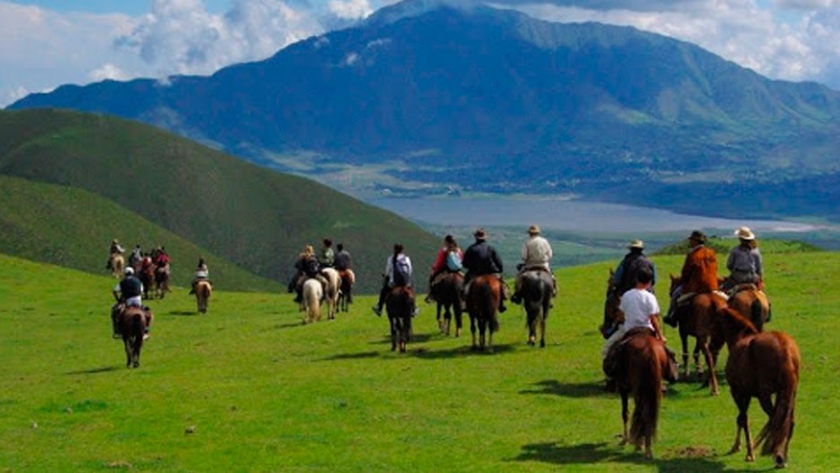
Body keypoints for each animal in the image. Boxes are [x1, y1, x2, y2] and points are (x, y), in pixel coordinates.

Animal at [600, 328, 680, 458]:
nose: (603, 331)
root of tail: (649, 349)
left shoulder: (624, 388)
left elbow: (625, 413)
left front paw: (626, 440)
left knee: (642, 412)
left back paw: (642, 446)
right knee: (648, 413)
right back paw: (647, 447)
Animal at [716, 306, 800, 464]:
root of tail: (784, 347)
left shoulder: (737, 392)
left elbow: (743, 419)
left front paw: (749, 452)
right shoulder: (747, 394)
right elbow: (741, 419)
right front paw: (737, 446)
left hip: (764, 396)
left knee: (776, 422)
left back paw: (778, 456)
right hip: (790, 395)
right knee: (789, 422)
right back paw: (784, 455)